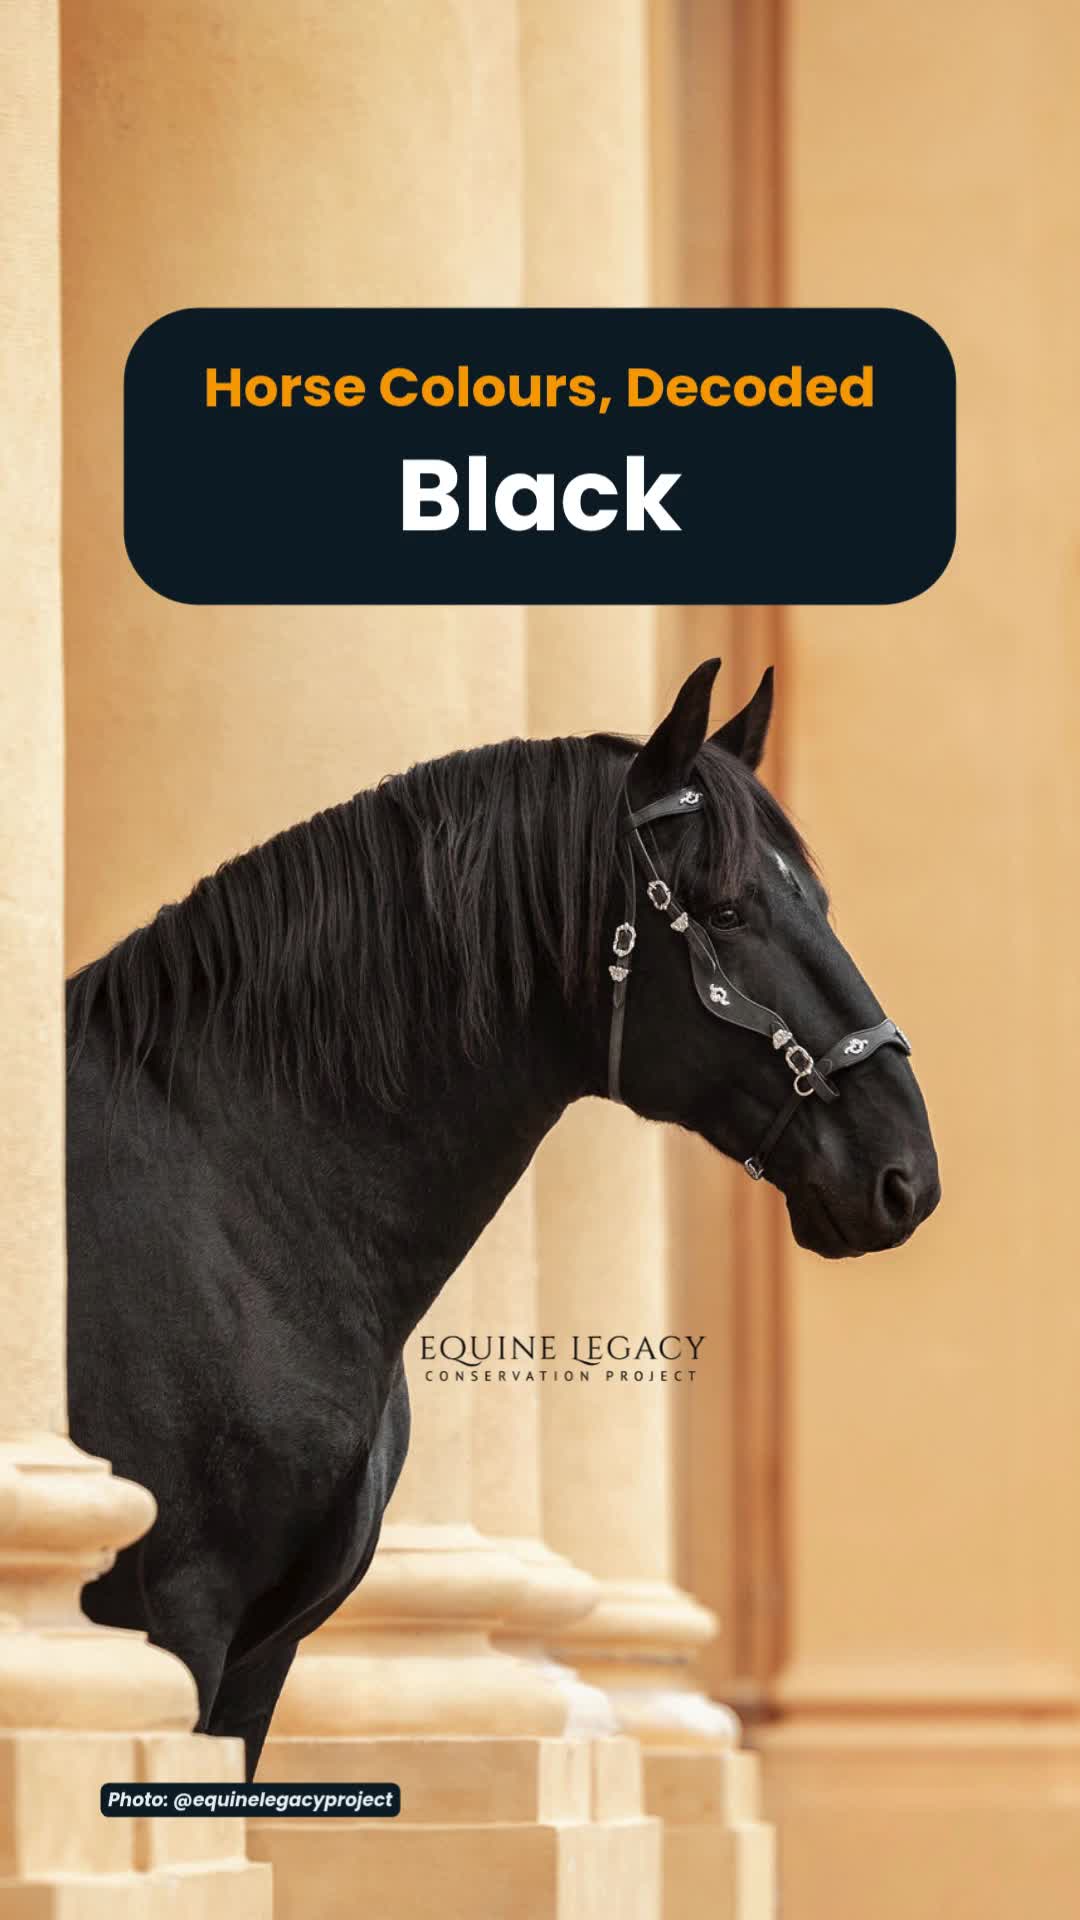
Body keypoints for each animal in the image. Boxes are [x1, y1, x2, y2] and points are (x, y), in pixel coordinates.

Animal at [66, 658, 940, 1776]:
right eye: (728, 912)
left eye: (816, 901)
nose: (905, 1172)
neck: (237, 1208)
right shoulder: (169, 1621)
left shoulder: (259, 1660)